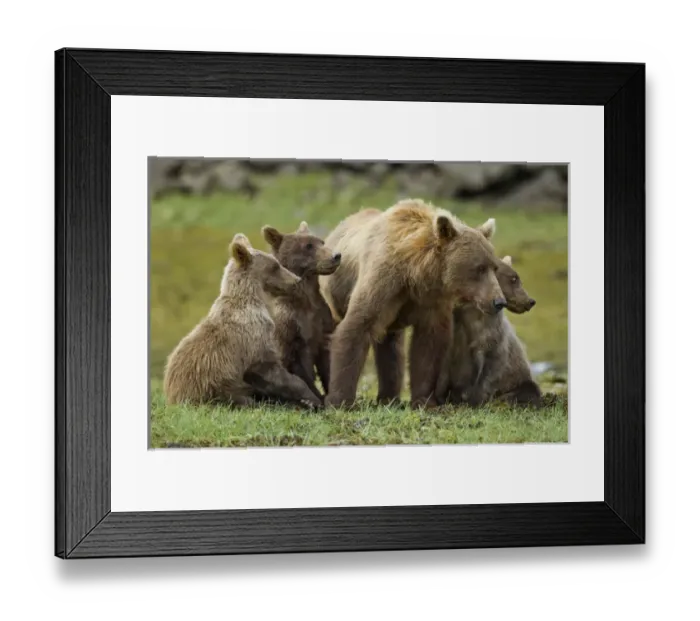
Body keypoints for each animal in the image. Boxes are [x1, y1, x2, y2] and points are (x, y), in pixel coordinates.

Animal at [162, 233, 323, 410]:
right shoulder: (253, 341)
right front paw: (311, 398)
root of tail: (172, 396)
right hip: (214, 387)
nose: (296, 280)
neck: (256, 300)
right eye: (275, 266)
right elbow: (273, 371)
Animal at [261, 221, 342, 400]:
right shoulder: (288, 326)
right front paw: (316, 397)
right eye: (308, 246)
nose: (336, 255)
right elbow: (296, 367)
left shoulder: (321, 319)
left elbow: (327, 360)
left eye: (322, 242)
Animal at [318, 199, 507, 409]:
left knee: (391, 349)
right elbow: (356, 327)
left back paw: (389, 397)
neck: (415, 271)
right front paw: (340, 400)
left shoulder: (432, 301)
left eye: (494, 267)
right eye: (479, 268)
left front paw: (424, 401)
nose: (499, 301)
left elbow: (428, 346)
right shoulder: (383, 282)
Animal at [436, 253, 542, 408]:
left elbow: (491, 365)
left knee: (528, 389)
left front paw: (475, 400)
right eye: (514, 279)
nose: (530, 301)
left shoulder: (492, 334)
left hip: (521, 380)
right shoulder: (456, 327)